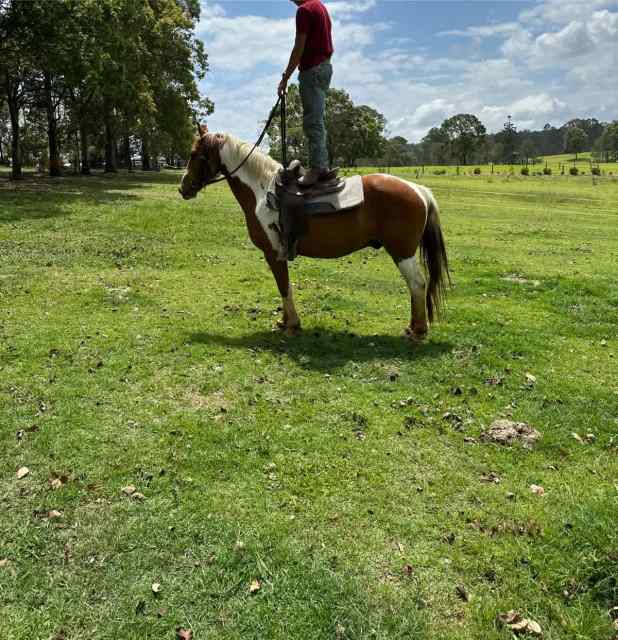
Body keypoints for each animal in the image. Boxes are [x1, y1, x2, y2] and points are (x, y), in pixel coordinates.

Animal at [179, 128, 450, 341]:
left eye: (193, 154)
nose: (183, 188)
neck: (262, 191)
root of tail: (418, 189)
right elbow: (284, 286)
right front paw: (284, 322)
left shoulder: (273, 253)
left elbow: (283, 286)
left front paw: (291, 325)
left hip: (402, 251)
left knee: (417, 284)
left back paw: (418, 331)